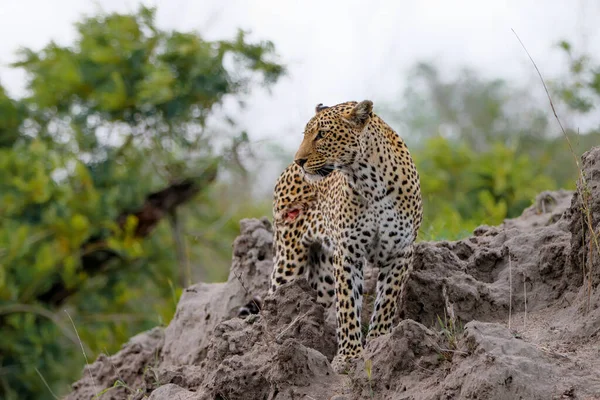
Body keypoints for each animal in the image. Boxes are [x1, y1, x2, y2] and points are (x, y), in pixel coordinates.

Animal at [239, 99, 422, 372]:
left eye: (322, 134)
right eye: (305, 134)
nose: (299, 160)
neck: (370, 181)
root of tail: (285, 171)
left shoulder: (400, 251)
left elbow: (386, 301)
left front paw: (380, 343)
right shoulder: (348, 254)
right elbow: (347, 307)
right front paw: (348, 356)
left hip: (323, 275)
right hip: (288, 261)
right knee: (273, 302)